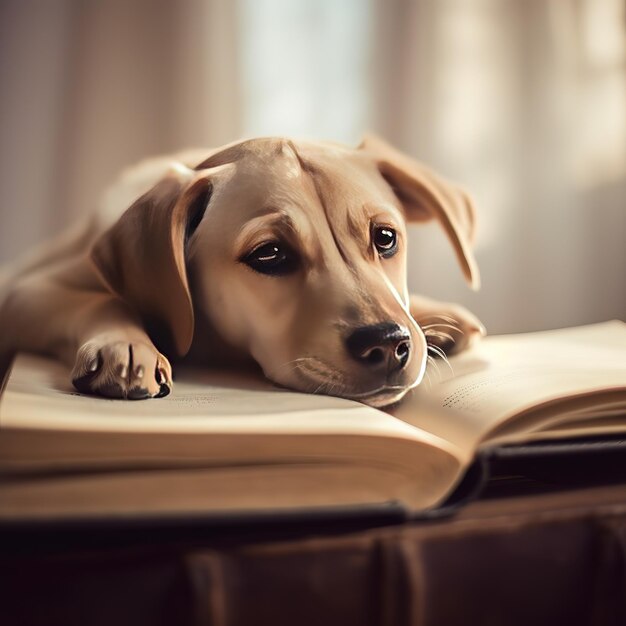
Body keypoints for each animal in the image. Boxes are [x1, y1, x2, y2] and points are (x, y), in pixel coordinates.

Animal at [0, 135, 482, 408]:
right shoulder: (24, 291)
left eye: (385, 238)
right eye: (269, 254)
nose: (387, 344)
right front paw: (124, 344)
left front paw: (436, 318)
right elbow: (101, 300)